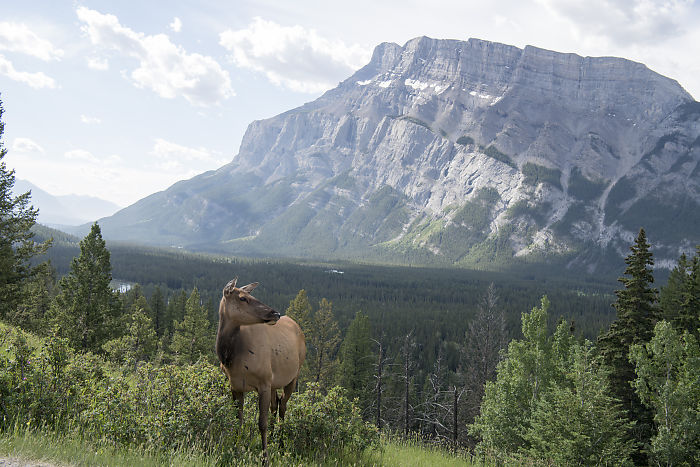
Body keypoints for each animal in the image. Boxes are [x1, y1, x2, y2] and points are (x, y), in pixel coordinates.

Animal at [215, 278, 304, 458]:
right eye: (242, 298)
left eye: (252, 295)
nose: (275, 314)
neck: (230, 358)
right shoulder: (235, 386)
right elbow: (239, 420)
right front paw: (236, 450)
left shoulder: (263, 382)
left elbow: (261, 424)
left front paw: (265, 458)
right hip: (274, 382)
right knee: (275, 404)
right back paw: (273, 438)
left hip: (293, 376)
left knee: (283, 406)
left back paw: (281, 446)